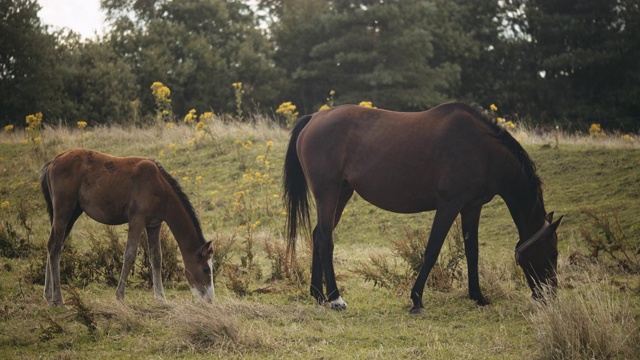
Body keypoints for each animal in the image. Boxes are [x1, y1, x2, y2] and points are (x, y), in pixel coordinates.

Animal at [40, 148, 215, 306]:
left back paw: (48, 296)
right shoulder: (137, 220)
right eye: (206, 269)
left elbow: (157, 258)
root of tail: (53, 162)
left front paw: (160, 298)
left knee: (52, 245)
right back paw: (58, 299)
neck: (158, 185)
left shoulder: (154, 225)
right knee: (55, 247)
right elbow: (130, 256)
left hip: (73, 213)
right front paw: (120, 297)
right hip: (63, 211)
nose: (210, 300)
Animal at [282, 100, 564, 312]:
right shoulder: (449, 205)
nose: (550, 295)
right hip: (328, 194)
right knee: (326, 240)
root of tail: (314, 119)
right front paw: (416, 299)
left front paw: (478, 296)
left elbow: (472, 252)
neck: (482, 150)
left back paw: (318, 295)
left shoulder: (471, 207)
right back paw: (335, 298)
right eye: (553, 254)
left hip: (342, 194)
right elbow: (432, 251)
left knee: (318, 235)